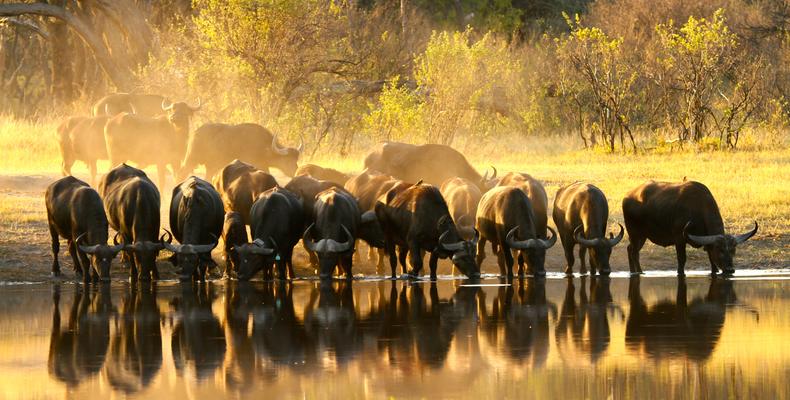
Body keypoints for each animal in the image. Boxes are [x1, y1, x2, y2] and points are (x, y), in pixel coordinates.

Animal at [624, 180, 760, 276]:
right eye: (719, 249)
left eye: (733, 250)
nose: (730, 269)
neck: (698, 208)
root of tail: (628, 195)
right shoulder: (679, 239)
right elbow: (682, 260)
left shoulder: (707, 243)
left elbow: (712, 261)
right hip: (635, 234)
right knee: (634, 252)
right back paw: (639, 272)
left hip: (641, 236)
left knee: (630, 249)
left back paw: (634, 272)